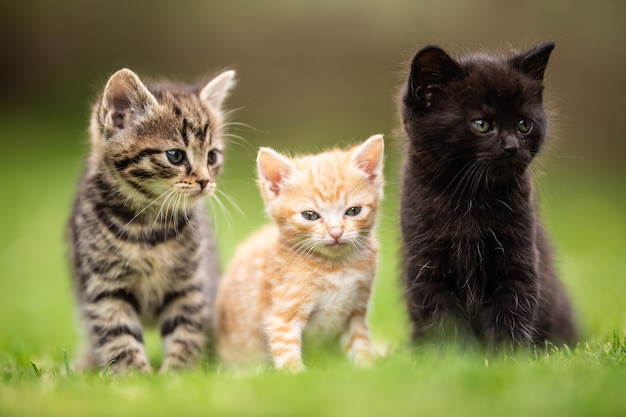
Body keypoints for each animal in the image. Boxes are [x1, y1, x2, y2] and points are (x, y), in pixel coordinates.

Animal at [67, 66, 235, 372]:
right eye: (175, 155)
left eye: (212, 156)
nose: (205, 181)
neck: (148, 225)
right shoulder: (103, 287)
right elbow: (118, 336)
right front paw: (135, 376)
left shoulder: (189, 284)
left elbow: (186, 331)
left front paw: (177, 374)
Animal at [214, 133, 382, 370]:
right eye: (310, 215)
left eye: (354, 211)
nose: (336, 232)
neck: (336, 268)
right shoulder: (282, 315)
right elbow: (286, 350)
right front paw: (297, 374)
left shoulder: (356, 311)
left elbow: (361, 345)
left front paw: (366, 368)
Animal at [400, 42, 576, 348]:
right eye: (481, 124)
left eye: (524, 124)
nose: (511, 146)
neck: (469, 200)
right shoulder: (426, 265)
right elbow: (443, 318)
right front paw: (455, 354)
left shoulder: (518, 258)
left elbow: (512, 309)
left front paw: (507, 354)